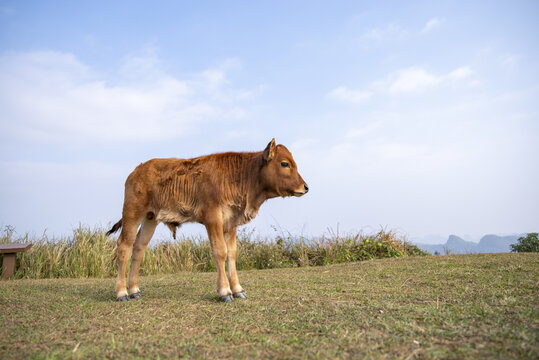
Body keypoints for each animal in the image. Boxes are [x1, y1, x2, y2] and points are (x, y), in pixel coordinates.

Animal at [106, 139, 308, 302]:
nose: (305, 187)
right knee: (124, 246)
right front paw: (225, 292)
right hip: (133, 213)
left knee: (139, 248)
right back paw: (122, 293)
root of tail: (137, 170)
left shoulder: (230, 223)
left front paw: (238, 289)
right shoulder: (213, 218)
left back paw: (134, 290)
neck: (241, 176)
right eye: (285, 163)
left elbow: (232, 254)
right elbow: (220, 252)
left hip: (150, 219)